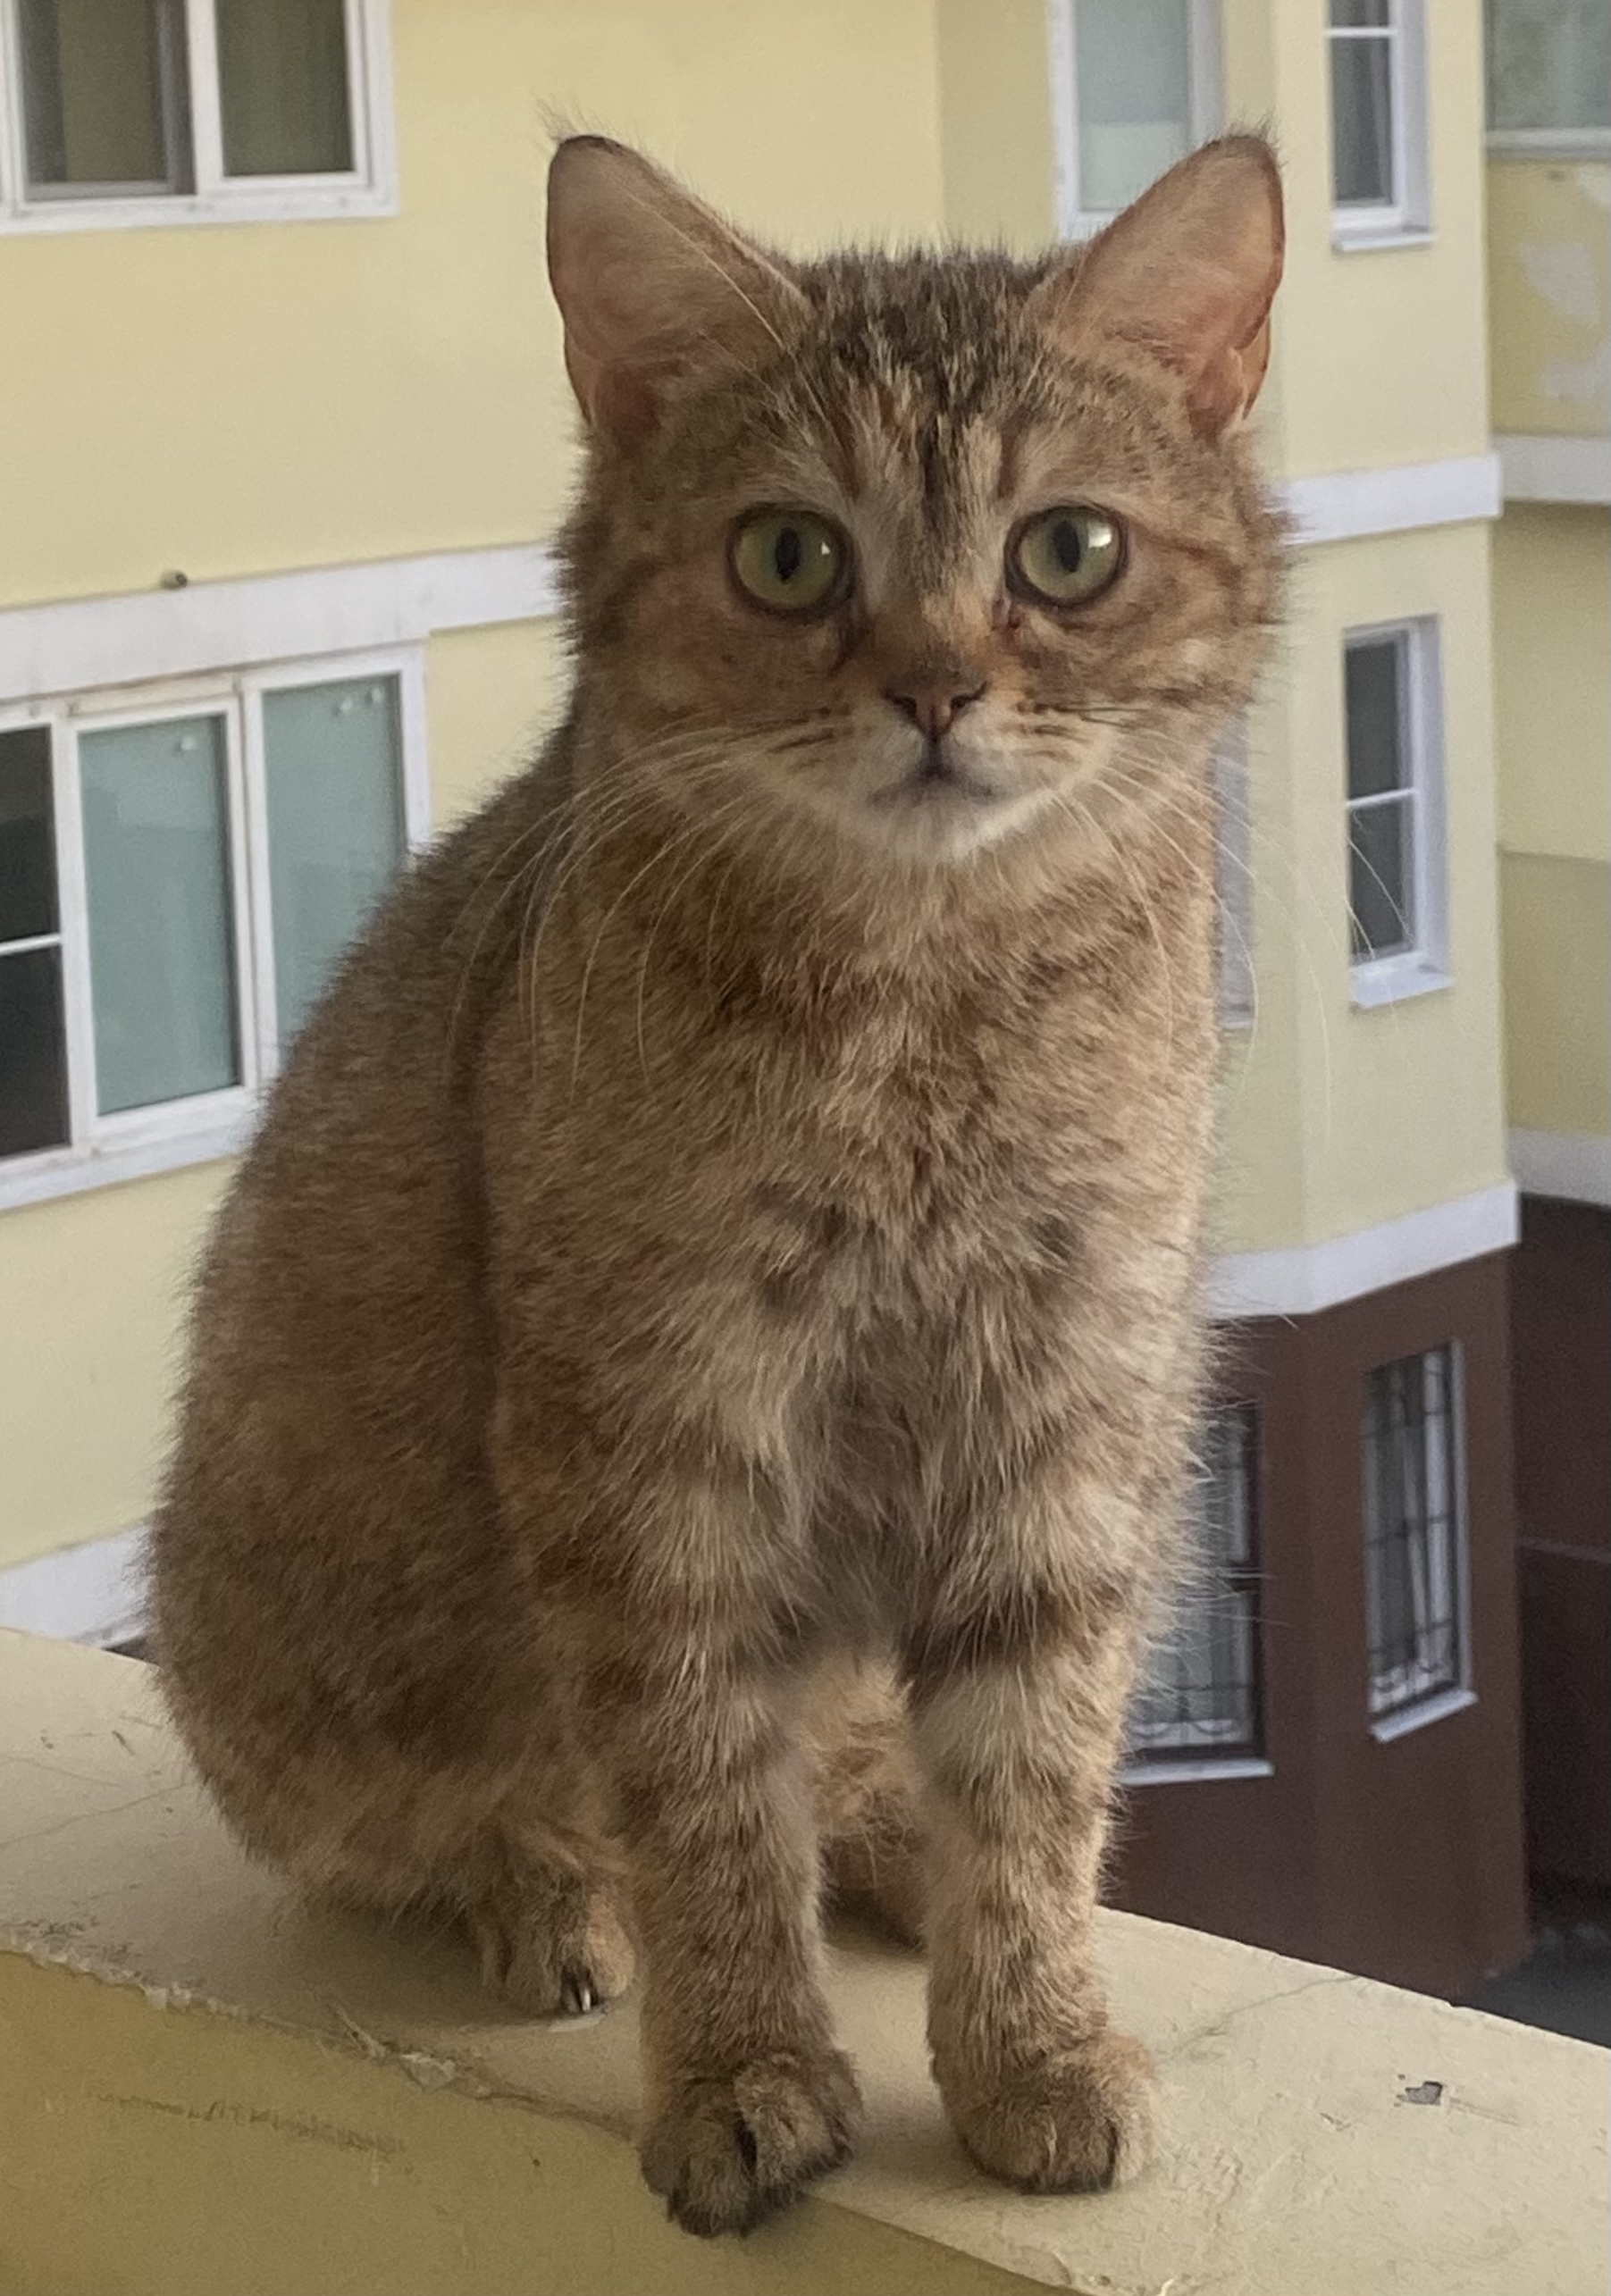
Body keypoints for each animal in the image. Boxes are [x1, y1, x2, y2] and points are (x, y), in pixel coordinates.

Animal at [149, 131, 1284, 2236]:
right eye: (788, 557)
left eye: (1066, 553)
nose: (934, 689)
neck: (926, 1006)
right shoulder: (653, 1438)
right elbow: (697, 1793)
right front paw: (744, 2065)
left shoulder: (1069, 1407)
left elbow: (1032, 1767)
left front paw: (1031, 2036)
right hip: (293, 1667)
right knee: (452, 1827)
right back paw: (549, 1889)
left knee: (863, 1778)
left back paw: (893, 1842)